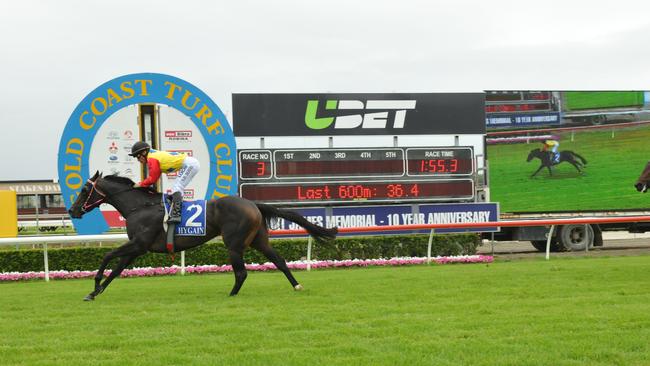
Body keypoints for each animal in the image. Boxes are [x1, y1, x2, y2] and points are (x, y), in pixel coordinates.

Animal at [68, 173, 336, 302]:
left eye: (84, 189)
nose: (72, 210)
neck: (139, 207)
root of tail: (253, 203)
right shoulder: (137, 248)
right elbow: (116, 271)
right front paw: (94, 292)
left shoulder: (138, 244)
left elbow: (106, 257)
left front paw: (94, 285)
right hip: (259, 240)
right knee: (279, 261)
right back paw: (297, 285)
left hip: (234, 243)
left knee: (241, 272)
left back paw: (231, 295)